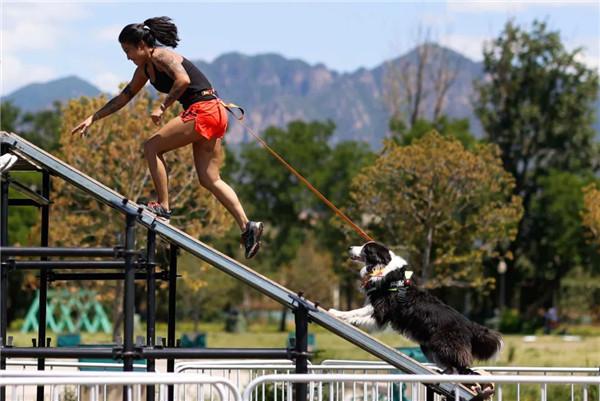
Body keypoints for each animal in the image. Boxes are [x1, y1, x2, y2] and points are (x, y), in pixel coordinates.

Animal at [330, 241, 504, 376]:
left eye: (366, 249)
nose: (349, 247)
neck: (383, 267)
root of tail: (469, 324)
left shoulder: (381, 309)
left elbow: (356, 312)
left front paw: (338, 314)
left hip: (444, 346)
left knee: (462, 368)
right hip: (429, 347)